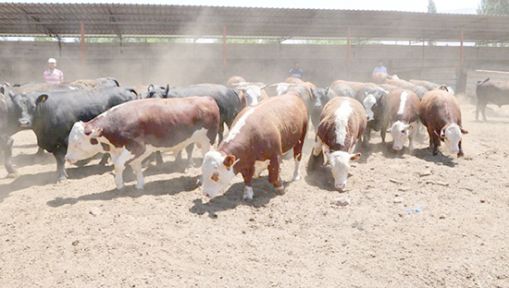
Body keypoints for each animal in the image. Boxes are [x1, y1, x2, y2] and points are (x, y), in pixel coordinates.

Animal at [65, 98, 218, 190]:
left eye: (78, 142)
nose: (67, 158)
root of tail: (207, 99)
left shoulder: (136, 147)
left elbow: (119, 165)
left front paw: (119, 185)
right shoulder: (134, 151)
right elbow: (135, 166)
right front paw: (139, 185)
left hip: (207, 141)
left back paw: (202, 181)